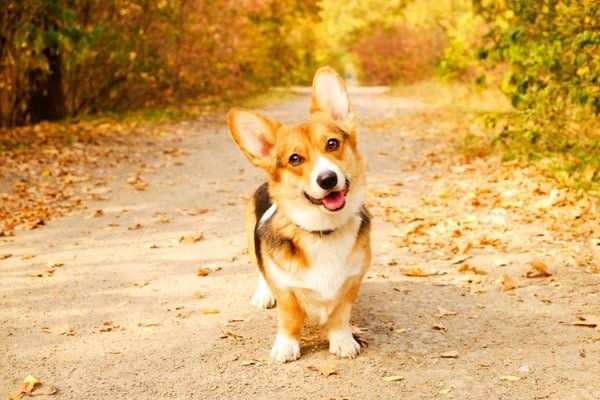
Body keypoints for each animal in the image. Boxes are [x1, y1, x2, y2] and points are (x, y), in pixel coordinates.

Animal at [227, 66, 370, 362]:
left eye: (332, 143)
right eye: (295, 159)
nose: (327, 179)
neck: (322, 231)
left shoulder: (352, 283)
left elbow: (340, 316)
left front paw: (343, 341)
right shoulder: (286, 291)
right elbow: (290, 319)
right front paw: (286, 346)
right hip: (251, 242)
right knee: (260, 270)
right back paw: (263, 294)